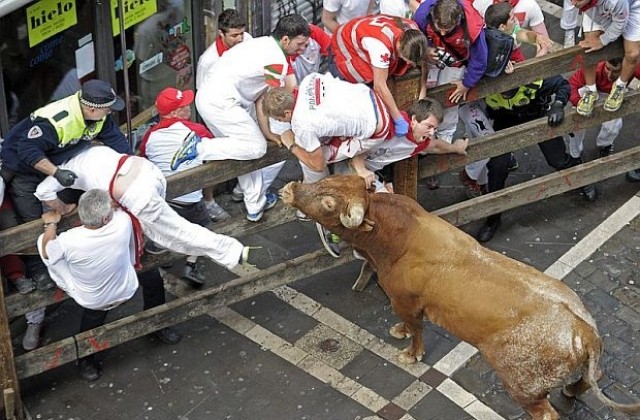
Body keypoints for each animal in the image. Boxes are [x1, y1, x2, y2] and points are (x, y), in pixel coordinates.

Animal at [280, 172, 640, 418]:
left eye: (328, 203)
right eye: (327, 180)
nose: (290, 189)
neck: (395, 238)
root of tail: (582, 330)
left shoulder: (405, 301)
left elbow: (417, 330)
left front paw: (411, 354)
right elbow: (405, 326)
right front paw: (398, 331)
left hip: (523, 387)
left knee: (545, 413)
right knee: (588, 379)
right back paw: (569, 392)